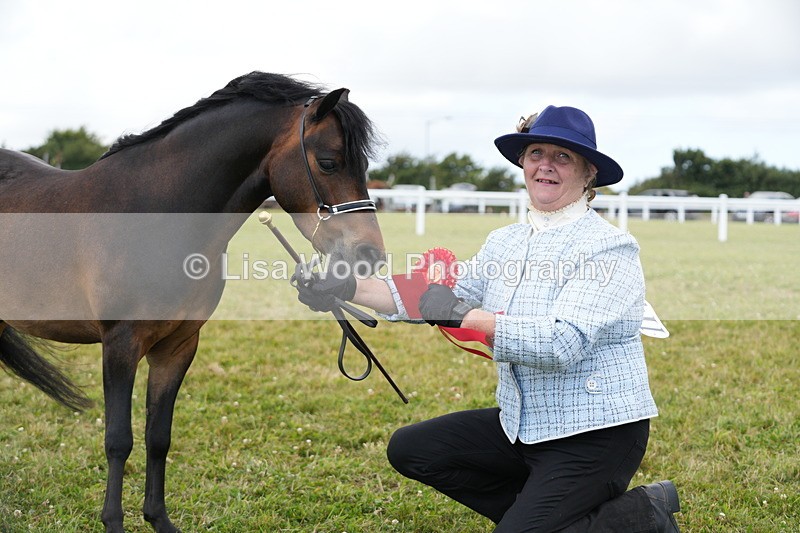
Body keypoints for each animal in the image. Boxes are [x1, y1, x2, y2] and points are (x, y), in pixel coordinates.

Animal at [0, 72, 386, 533]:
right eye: (329, 162)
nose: (370, 255)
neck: (156, 215)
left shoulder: (178, 346)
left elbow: (158, 437)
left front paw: (158, 518)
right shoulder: (120, 344)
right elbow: (118, 440)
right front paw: (113, 521)